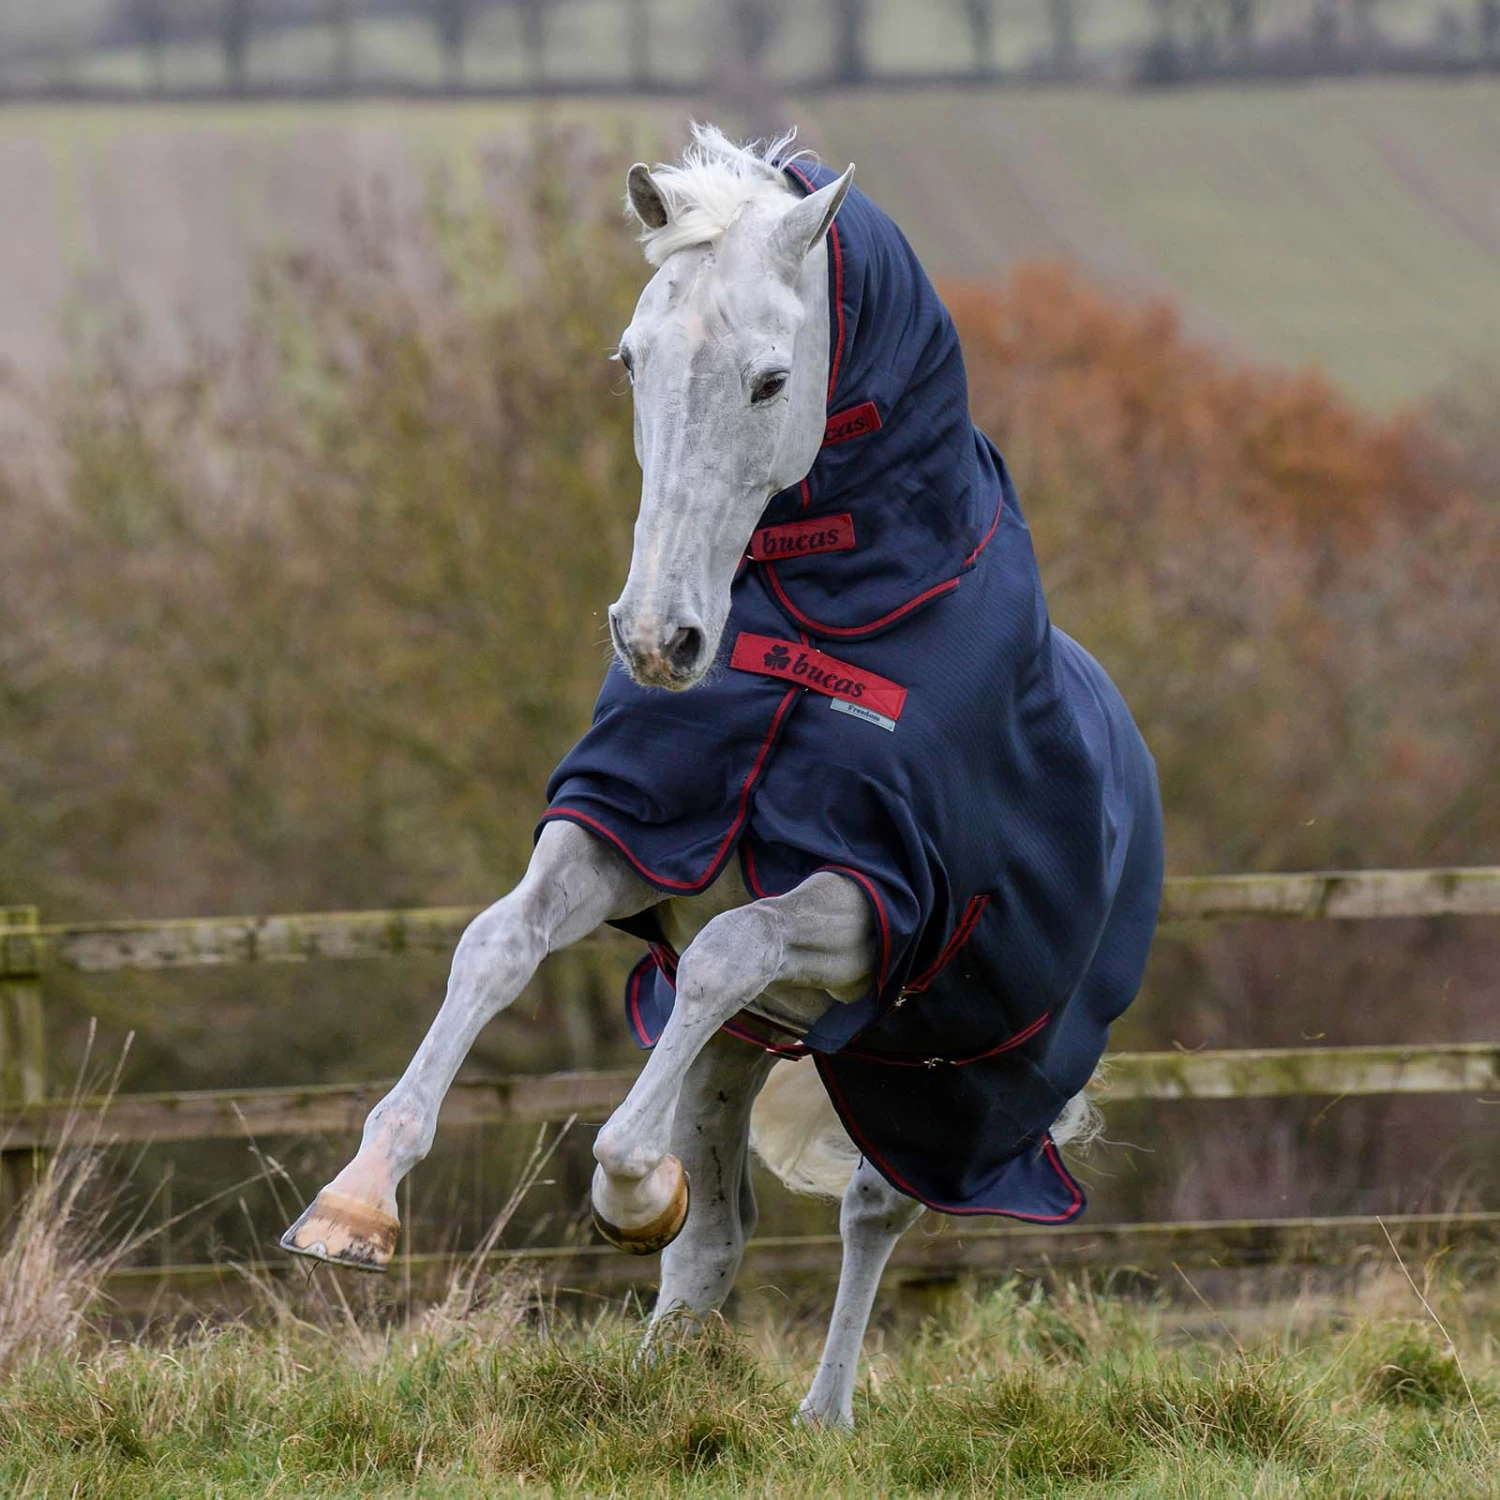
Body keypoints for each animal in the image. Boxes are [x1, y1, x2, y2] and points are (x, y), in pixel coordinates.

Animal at [281, 124, 1165, 1430]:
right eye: (631, 361)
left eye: (767, 380)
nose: (658, 641)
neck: (826, 612)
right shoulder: (631, 829)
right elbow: (498, 942)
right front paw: (355, 1202)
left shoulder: (872, 899)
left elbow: (725, 950)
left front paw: (627, 1184)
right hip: (754, 1049)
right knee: (719, 1236)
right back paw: (653, 1391)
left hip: (936, 1093)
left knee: (870, 1210)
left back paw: (821, 1416)